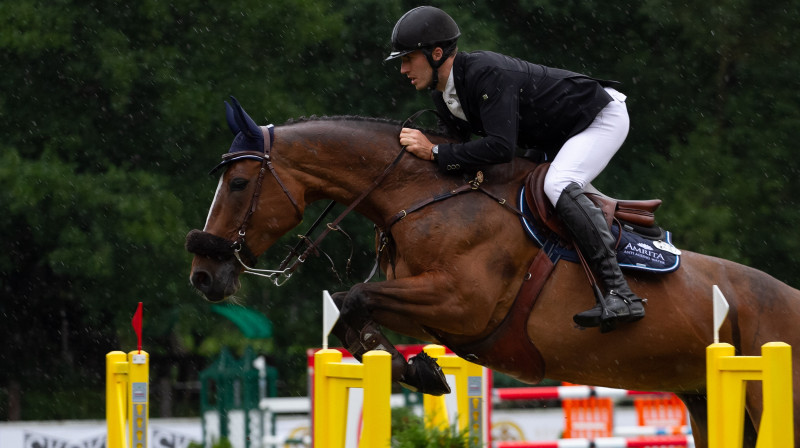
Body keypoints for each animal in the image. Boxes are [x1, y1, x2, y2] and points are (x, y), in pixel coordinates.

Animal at [188, 97, 800, 444]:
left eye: (237, 183)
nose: (202, 274)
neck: (422, 194)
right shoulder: (427, 306)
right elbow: (347, 313)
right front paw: (415, 369)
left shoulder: (463, 304)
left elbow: (355, 296)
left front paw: (420, 372)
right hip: (705, 400)